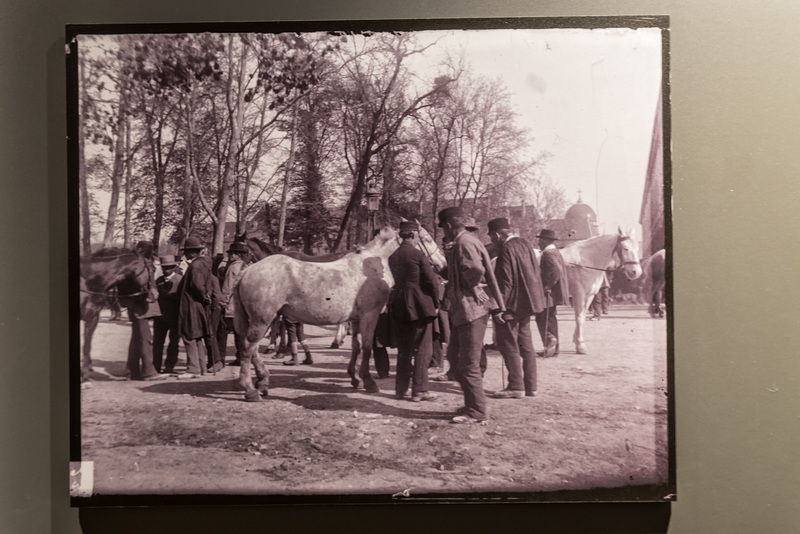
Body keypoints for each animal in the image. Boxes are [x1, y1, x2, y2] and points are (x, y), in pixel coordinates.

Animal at [81, 249, 155, 384]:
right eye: (153, 268)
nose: (155, 294)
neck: (86, 280)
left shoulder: (92, 317)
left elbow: (87, 346)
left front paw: (85, 375)